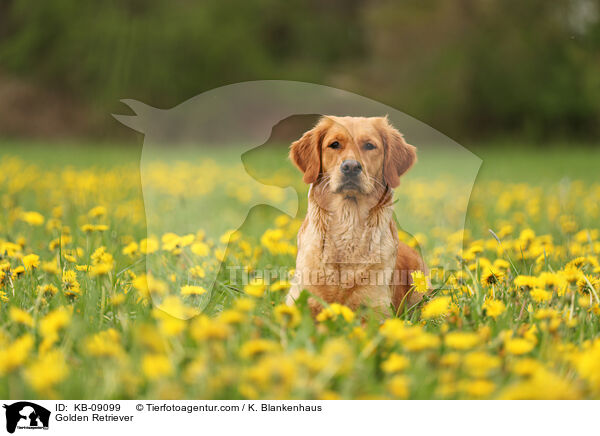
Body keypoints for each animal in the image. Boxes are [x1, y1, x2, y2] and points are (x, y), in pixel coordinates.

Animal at [286, 116, 426, 318]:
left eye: (369, 145)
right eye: (334, 144)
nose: (351, 166)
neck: (348, 220)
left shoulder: (378, 308)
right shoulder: (299, 299)